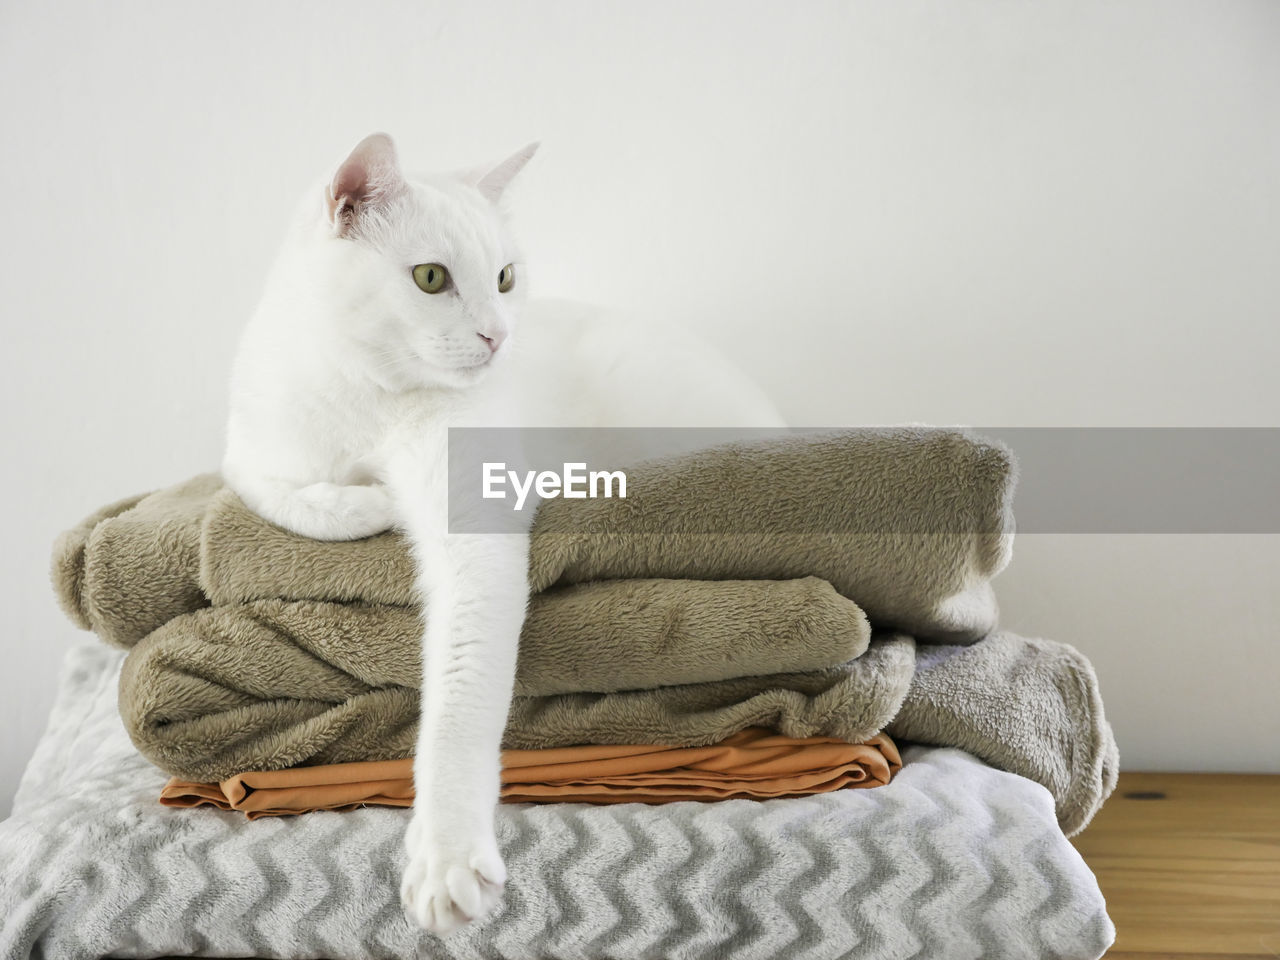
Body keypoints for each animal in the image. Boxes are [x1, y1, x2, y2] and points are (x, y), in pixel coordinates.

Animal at [225, 131, 783, 936]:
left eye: (505, 277)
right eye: (430, 278)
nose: (498, 334)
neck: (374, 402)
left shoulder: (473, 527)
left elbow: (458, 705)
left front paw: (447, 857)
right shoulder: (246, 452)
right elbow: (278, 493)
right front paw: (367, 503)